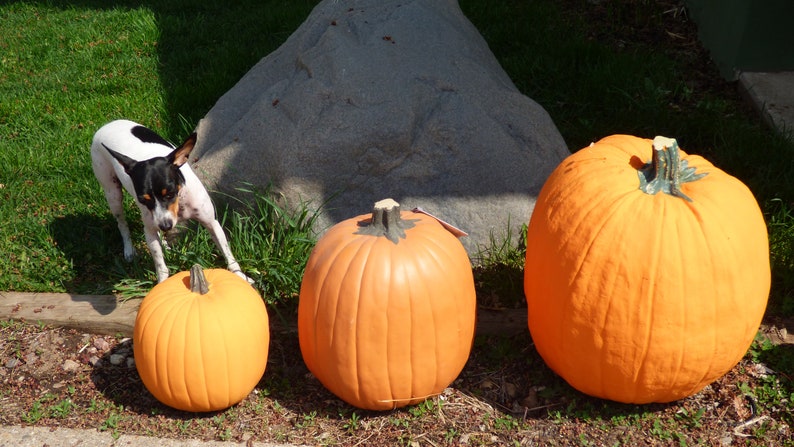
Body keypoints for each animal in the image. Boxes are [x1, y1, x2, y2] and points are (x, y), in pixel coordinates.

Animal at [91, 120, 249, 284]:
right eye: (142, 199)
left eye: (170, 193)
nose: (165, 225)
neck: (180, 205)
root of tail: (108, 124)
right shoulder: (150, 230)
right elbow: (160, 266)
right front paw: (162, 283)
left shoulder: (211, 222)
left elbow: (228, 254)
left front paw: (240, 276)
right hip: (113, 193)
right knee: (121, 223)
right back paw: (129, 249)